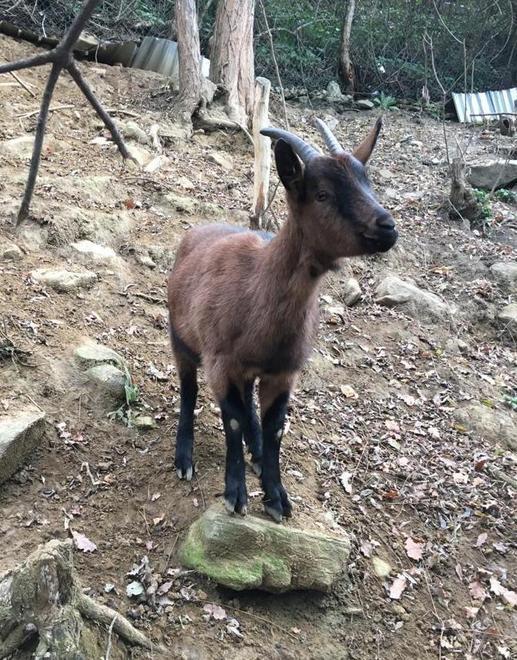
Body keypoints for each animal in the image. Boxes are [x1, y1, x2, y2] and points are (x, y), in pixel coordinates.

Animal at [167, 118, 398, 522]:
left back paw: (257, 452)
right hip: (180, 340)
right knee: (189, 390)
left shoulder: (284, 371)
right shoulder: (219, 363)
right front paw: (236, 494)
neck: (257, 287)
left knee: (247, 400)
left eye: (367, 183)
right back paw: (185, 458)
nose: (387, 227)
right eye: (321, 194)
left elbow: (275, 428)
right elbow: (232, 419)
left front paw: (276, 496)